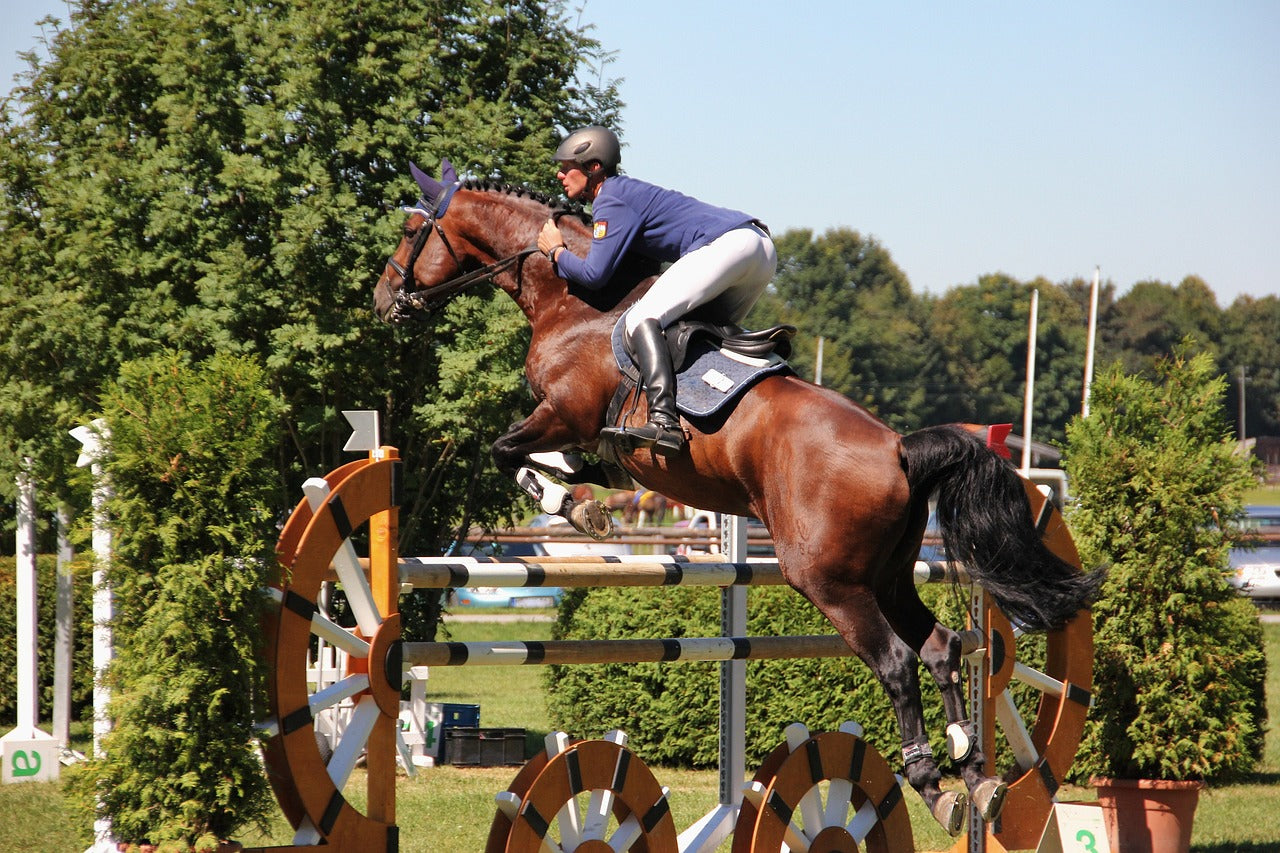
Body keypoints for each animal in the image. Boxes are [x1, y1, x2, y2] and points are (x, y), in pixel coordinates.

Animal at [373, 161, 1100, 835]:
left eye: (411, 231)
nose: (384, 301)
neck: (574, 302)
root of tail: (900, 448)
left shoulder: (563, 414)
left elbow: (506, 452)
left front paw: (574, 508)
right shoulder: (591, 440)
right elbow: (563, 463)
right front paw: (584, 498)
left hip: (829, 580)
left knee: (896, 661)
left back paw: (932, 780)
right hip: (890, 574)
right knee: (943, 648)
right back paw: (975, 775)